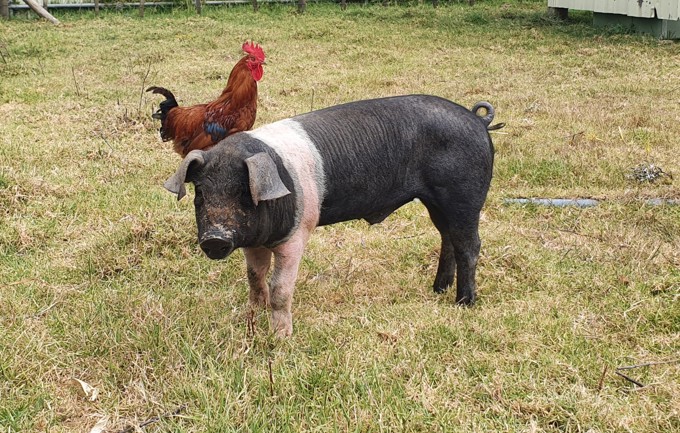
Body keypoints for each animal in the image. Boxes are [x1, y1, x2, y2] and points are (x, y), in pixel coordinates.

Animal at [164, 95, 503, 337]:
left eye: (244, 192)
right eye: (200, 193)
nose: (215, 238)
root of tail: (477, 120)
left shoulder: (297, 234)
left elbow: (280, 288)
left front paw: (280, 338)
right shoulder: (254, 241)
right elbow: (255, 280)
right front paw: (253, 317)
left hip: (464, 195)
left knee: (469, 245)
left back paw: (464, 304)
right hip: (437, 201)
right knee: (447, 239)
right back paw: (438, 289)